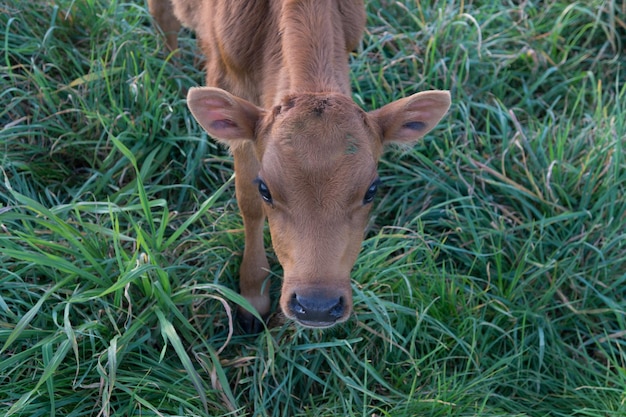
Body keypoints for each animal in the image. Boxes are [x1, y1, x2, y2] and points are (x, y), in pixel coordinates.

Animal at [147, 0, 448, 332]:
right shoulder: (230, 82)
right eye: (265, 189)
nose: (317, 306)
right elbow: (247, 202)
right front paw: (252, 298)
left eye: (371, 190)